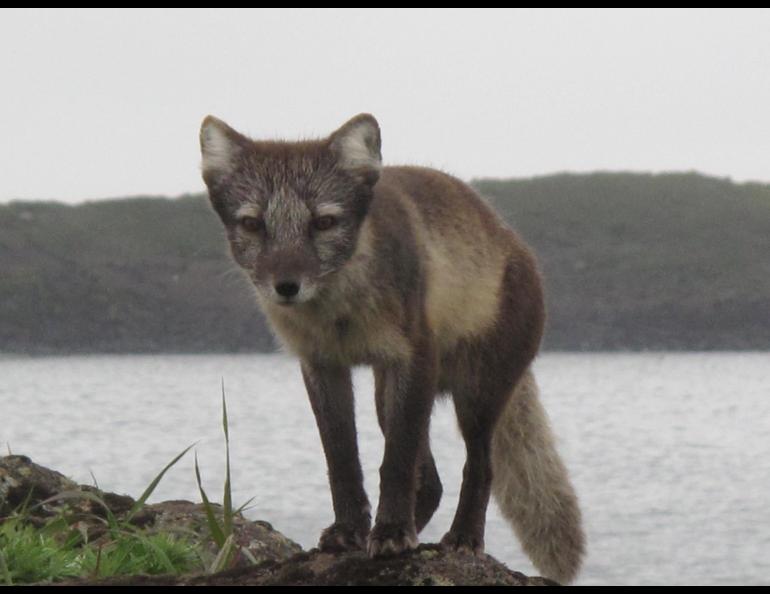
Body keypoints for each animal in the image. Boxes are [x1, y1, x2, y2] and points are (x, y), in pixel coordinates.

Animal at [198, 113, 584, 580]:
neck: (341, 315)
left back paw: (462, 538)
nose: (286, 287)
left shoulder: (413, 359)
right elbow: (342, 458)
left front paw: (392, 533)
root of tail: (515, 242)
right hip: (388, 396)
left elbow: (396, 462)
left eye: (324, 222)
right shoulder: (321, 366)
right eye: (253, 224)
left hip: (474, 396)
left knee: (479, 466)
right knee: (432, 483)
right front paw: (351, 531)